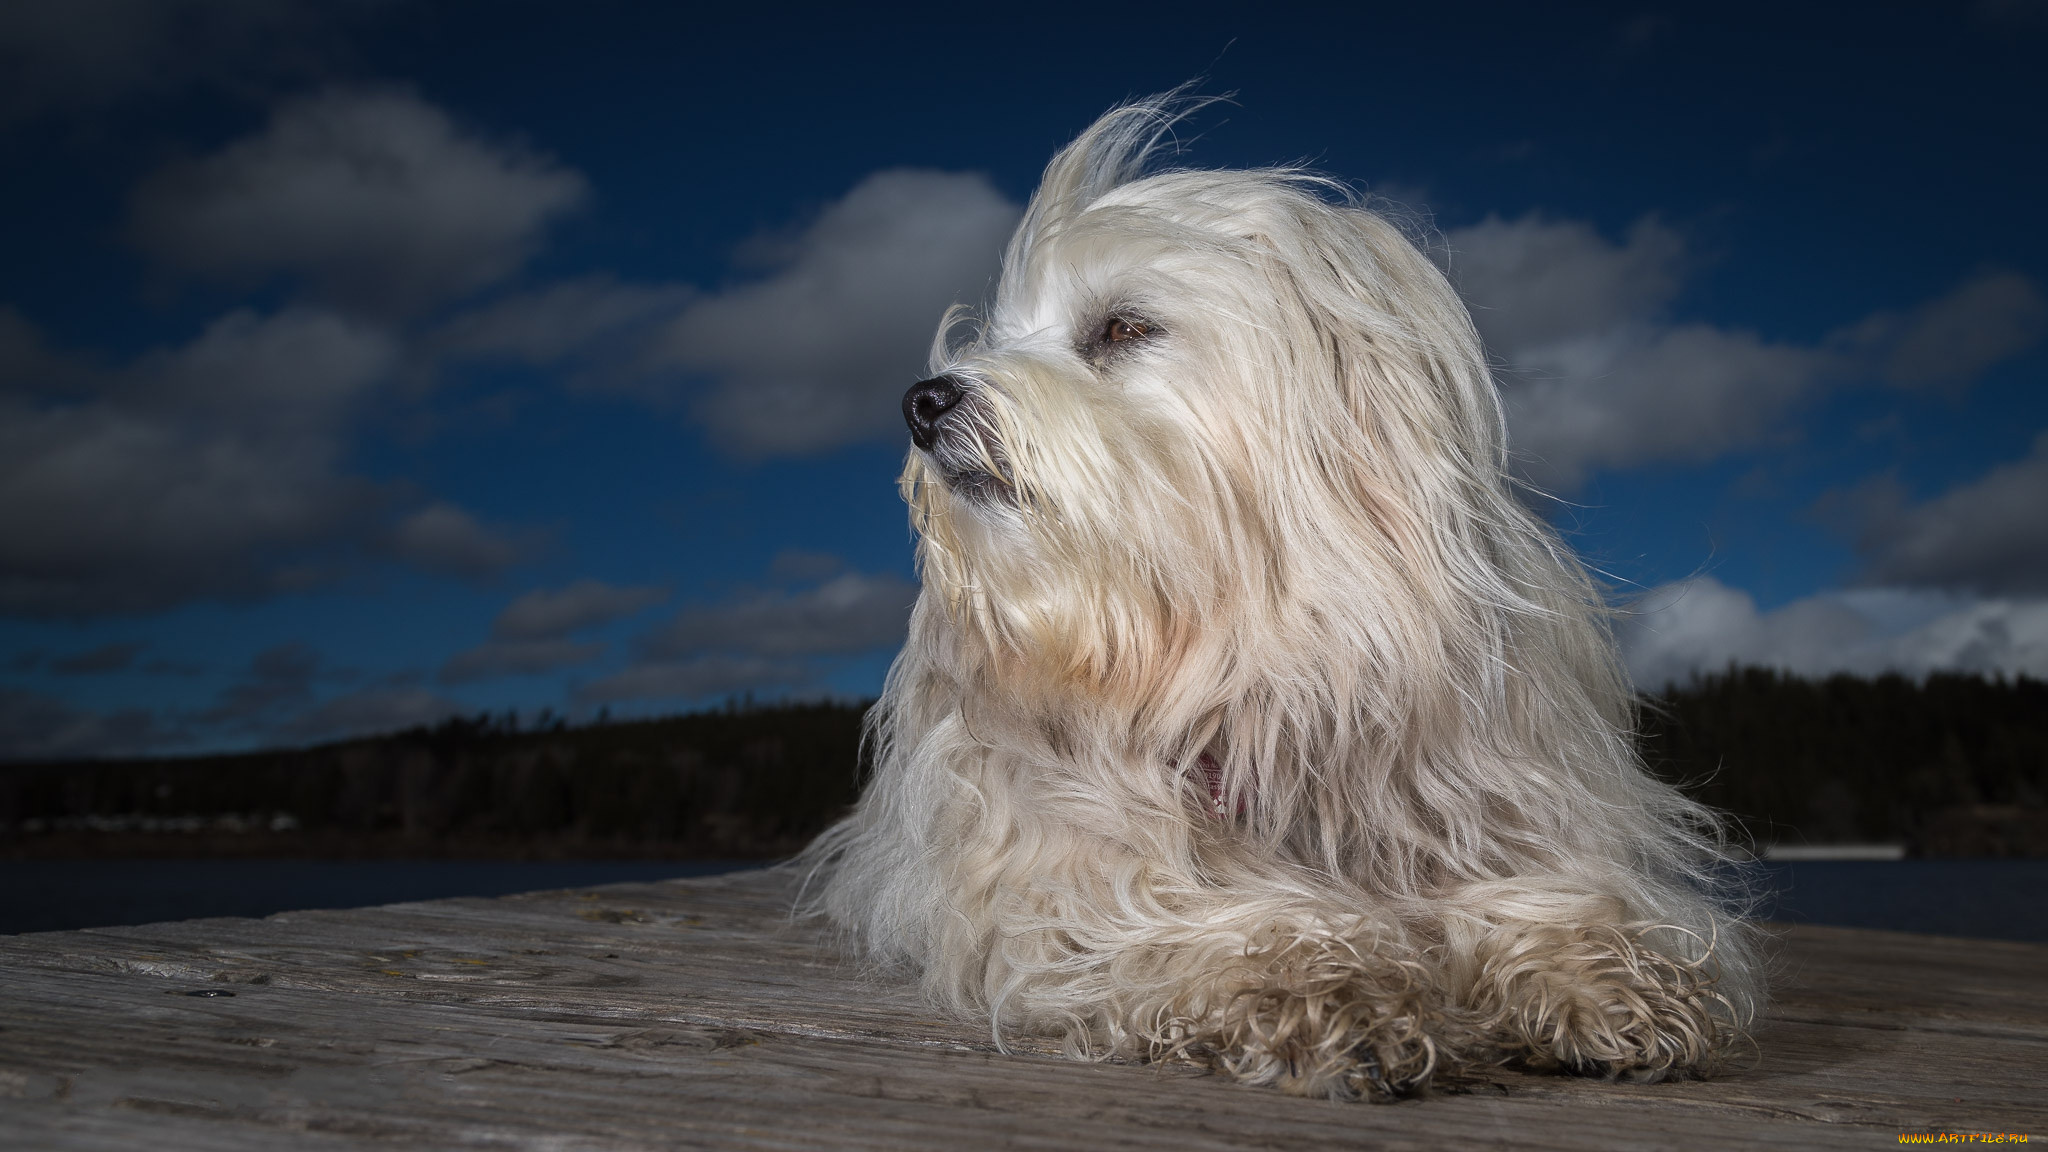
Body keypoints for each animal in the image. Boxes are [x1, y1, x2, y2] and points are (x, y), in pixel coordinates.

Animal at [798, 94, 1761, 1098]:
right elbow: (1169, 909)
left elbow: (1553, 890)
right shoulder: (1052, 862)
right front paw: (1318, 981)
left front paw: (1605, 973)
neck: (1234, 655)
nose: (922, 401)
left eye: (1122, 329)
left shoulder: (1502, 796)